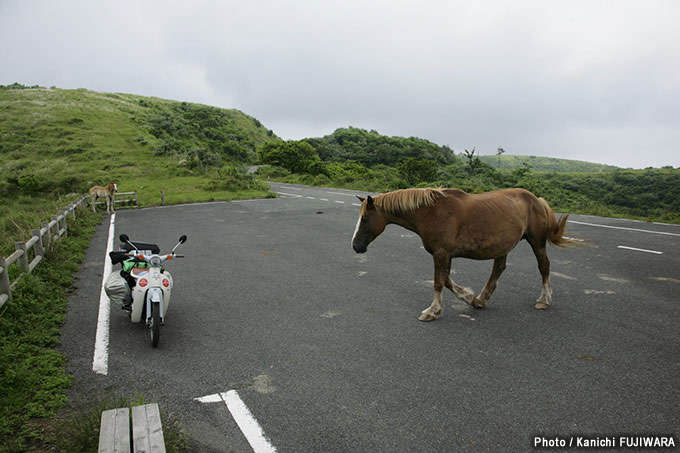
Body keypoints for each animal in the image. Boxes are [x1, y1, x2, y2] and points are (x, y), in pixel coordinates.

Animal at [350, 185, 580, 320]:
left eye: (365, 219)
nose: (355, 246)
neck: (432, 213)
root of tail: (536, 199)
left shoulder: (441, 253)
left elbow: (439, 282)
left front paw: (432, 311)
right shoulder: (445, 255)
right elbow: (447, 281)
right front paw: (469, 298)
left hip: (537, 242)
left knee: (544, 267)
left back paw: (544, 300)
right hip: (504, 246)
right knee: (498, 269)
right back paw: (482, 299)